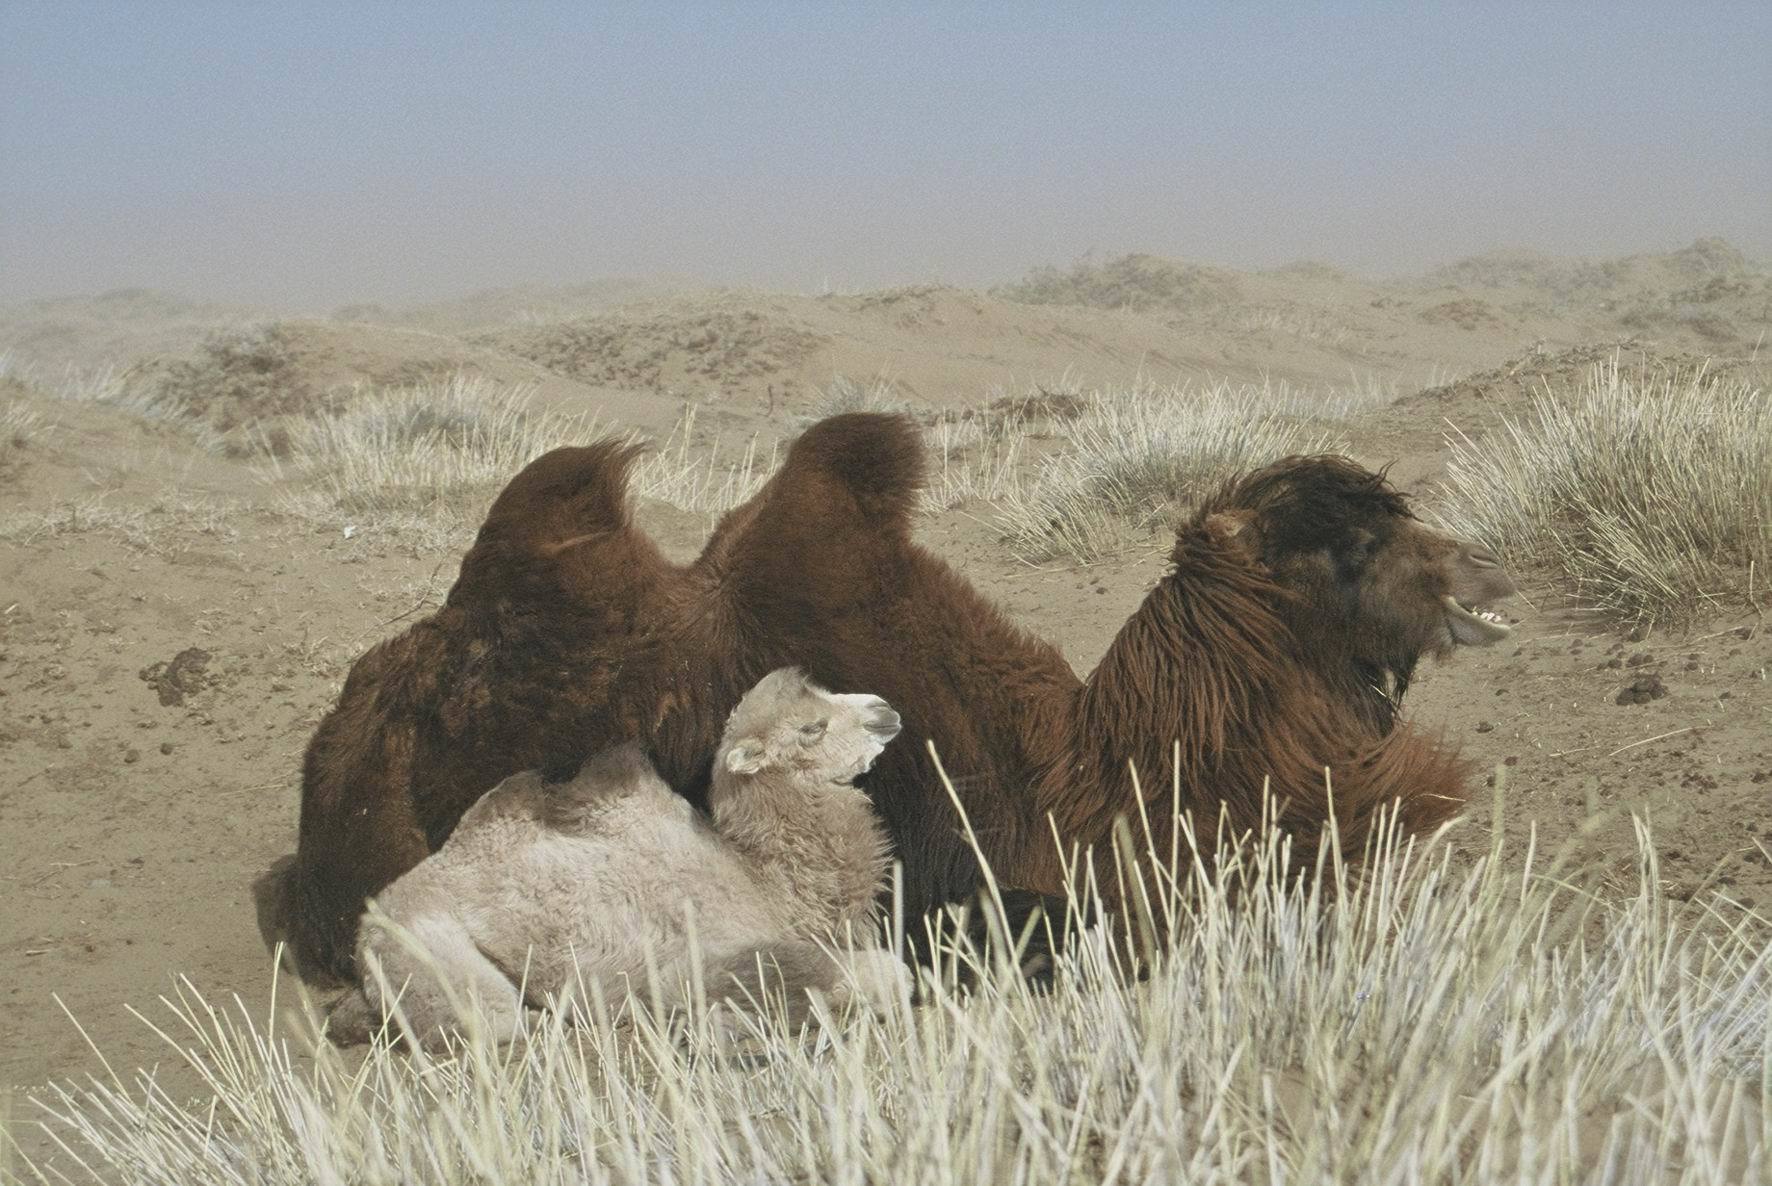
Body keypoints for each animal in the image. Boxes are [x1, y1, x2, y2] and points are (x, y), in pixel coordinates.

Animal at [327, 668, 906, 1049]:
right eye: (812, 728)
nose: (886, 712)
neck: (767, 881)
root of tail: (364, 929)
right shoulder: (691, 966)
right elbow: (871, 972)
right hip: (427, 953)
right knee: (490, 1024)